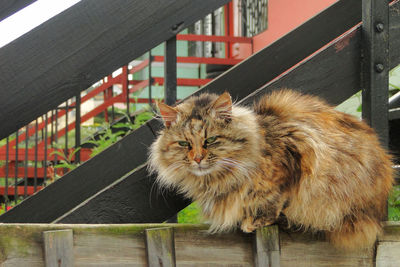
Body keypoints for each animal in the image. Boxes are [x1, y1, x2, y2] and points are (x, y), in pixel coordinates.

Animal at [148, 90, 394, 251]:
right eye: (184, 144)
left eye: (211, 140)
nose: (198, 158)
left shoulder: (295, 157)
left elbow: (273, 199)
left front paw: (254, 221)